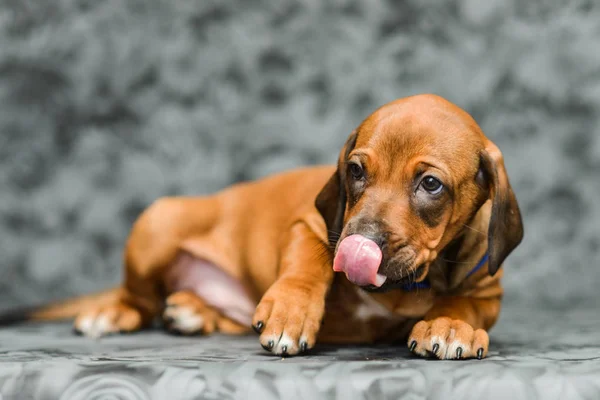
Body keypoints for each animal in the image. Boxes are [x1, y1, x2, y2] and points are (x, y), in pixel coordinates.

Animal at [0, 94, 520, 360]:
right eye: (355, 171)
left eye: (430, 184)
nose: (358, 243)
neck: (406, 284)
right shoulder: (312, 224)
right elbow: (306, 263)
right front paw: (291, 312)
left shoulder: (488, 292)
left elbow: (464, 304)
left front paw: (451, 325)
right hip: (157, 223)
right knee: (138, 301)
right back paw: (114, 312)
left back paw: (193, 311)